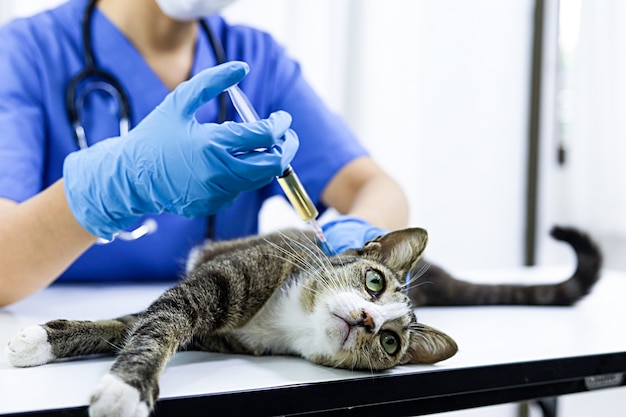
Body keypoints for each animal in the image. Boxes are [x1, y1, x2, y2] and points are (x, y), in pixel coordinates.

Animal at [6, 226, 600, 416]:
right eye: (374, 282)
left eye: (389, 342)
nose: (366, 319)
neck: (289, 320)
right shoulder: (216, 286)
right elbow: (145, 324)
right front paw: (38, 340)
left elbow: (141, 327)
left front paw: (123, 388)